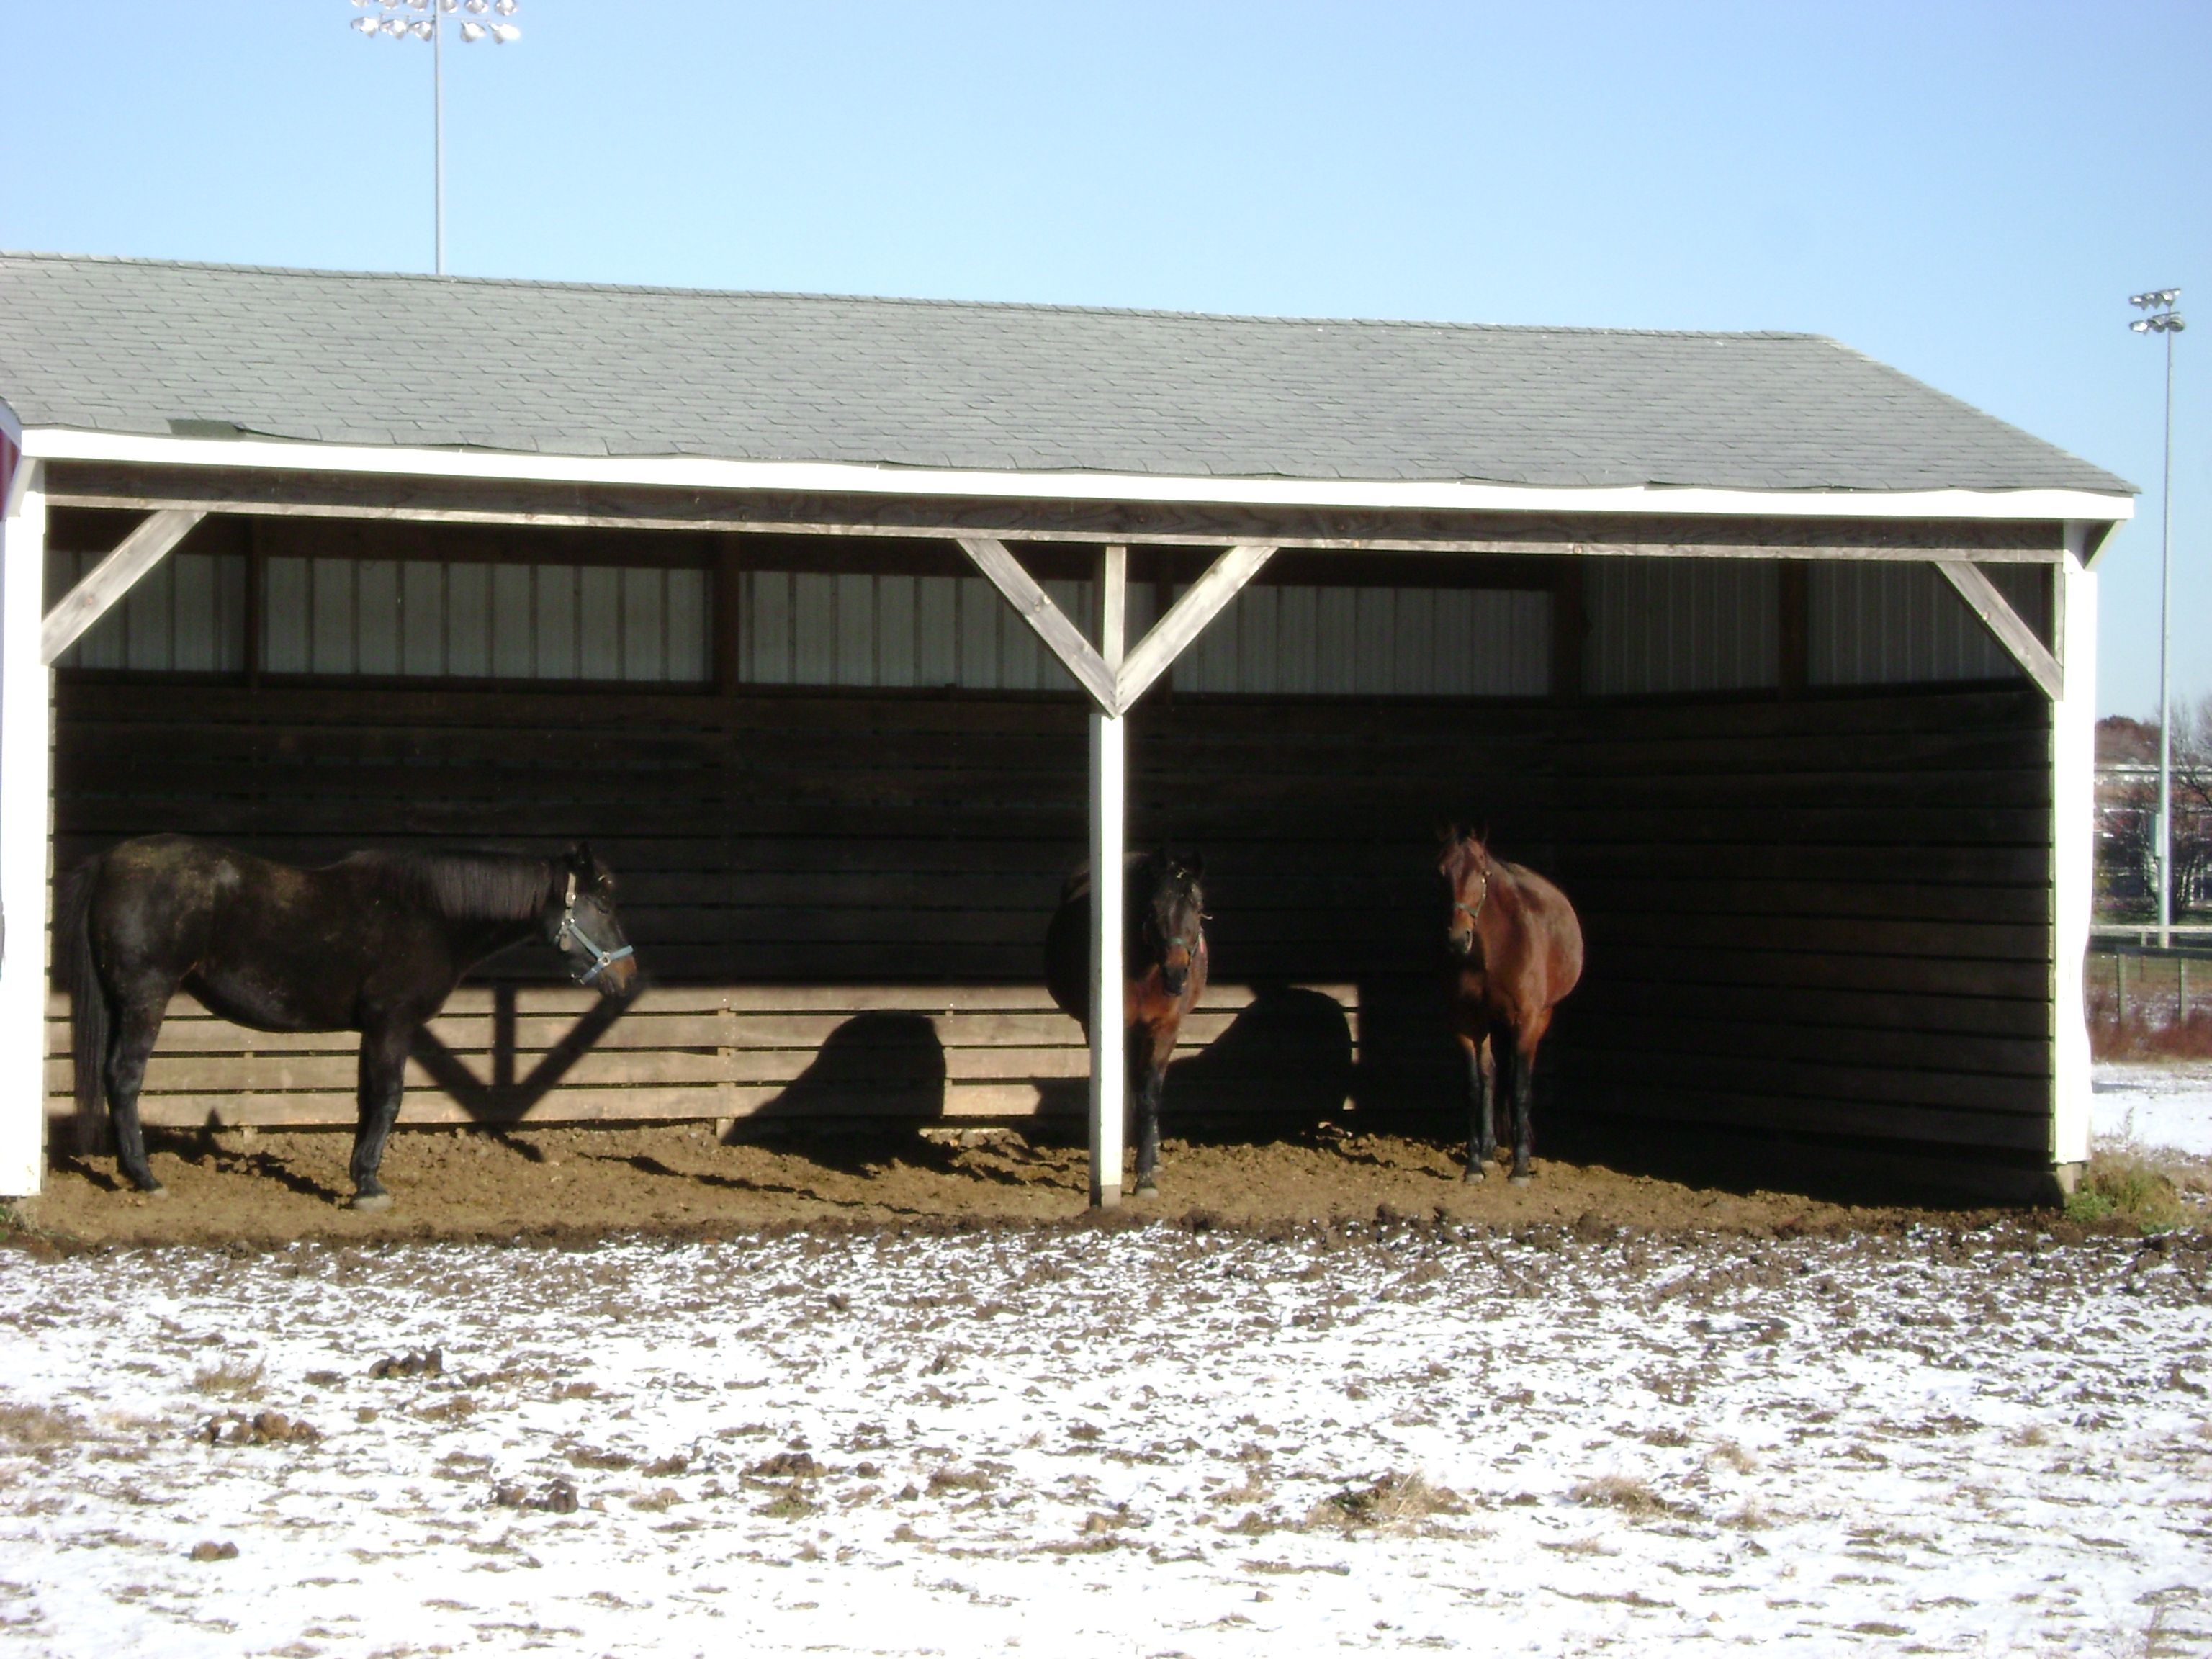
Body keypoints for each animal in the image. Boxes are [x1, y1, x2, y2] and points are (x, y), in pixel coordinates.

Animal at [64, 845, 637, 1212]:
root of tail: (111, 861)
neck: (431, 914)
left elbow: (366, 1101)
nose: (628, 977)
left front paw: (361, 1175)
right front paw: (370, 1188)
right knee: (124, 1080)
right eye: (603, 904)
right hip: (145, 999)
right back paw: (145, 1178)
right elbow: (388, 1100)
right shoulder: (393, 1024)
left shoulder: (373, 1029)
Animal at [1039, 858, 1212, 1194]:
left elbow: (1149, 1096)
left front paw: (1145, 1174)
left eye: (1198, 908)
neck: (1145, 971)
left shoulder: (1165, 1029)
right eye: (1152, 909)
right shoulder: (1105, 1027)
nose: (1175, 974)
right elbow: (1118, 1088)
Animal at [1442, 836, 1583, 1185]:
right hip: (1491, 1023)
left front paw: (1520, 1168)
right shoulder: (1466, 1024)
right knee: (1491, 1076)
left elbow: (1520, 1089)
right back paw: (1489, 1152)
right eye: (1442, 873)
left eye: (1483, 875)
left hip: (1538, 1018)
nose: (1457, 939)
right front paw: (1474, 1165)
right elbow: (1474, 1088)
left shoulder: (1527, 1022)